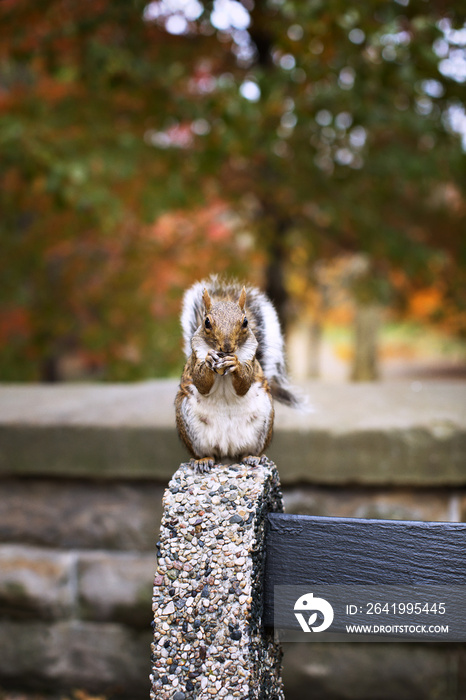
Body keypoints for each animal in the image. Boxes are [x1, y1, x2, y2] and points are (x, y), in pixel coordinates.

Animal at [174, 276, 302, 474]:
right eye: (206, 322)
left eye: (245, 322)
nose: (227, 347)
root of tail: (228, 450)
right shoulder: (196, 360)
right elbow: (201, 383)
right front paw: (210, 359)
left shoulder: (251, 361)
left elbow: (244, 384)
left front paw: (235, 364)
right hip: (190, 427)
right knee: (206, 453)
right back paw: (203, 460)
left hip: (263, 424)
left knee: (249, 452)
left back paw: (252, 457)